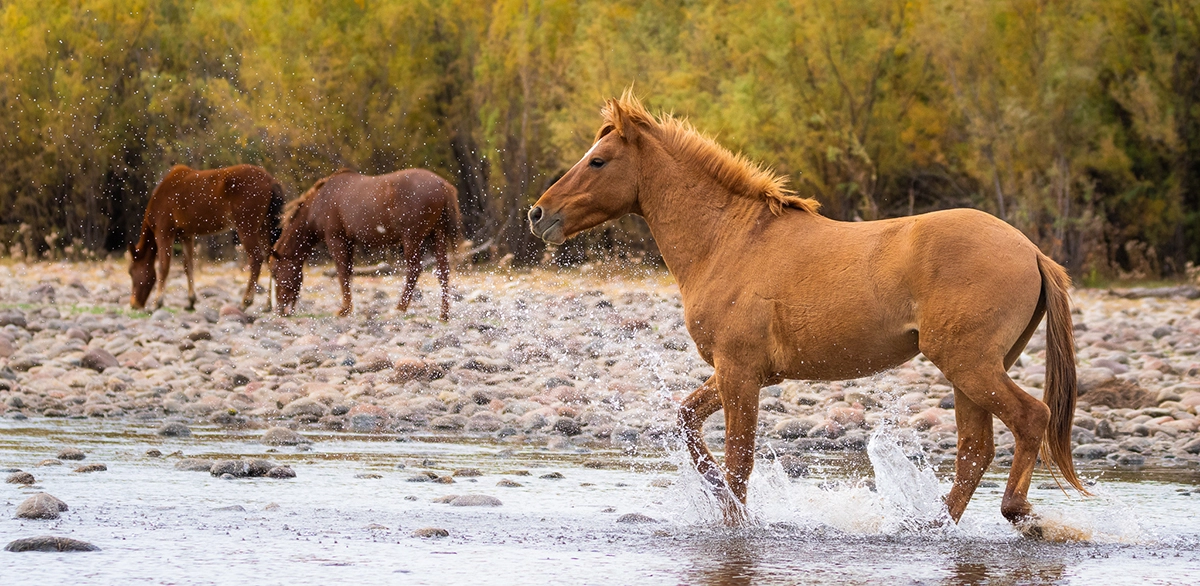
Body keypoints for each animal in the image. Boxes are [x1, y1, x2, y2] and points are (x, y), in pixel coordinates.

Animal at [129, 164, 284, 311]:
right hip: (264, 227)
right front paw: (191, 301)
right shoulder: (186, 235)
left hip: (246, 228)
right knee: (269, 258)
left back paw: (245, 302)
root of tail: (271, 180)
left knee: (256, 259)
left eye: (131, 271)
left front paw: (157, 302)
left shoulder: (164, 233)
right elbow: (188, 266)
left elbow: (163, 267)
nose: (134, 304)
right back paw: (267, 305)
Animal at [271, 168, 460, 320]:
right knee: (443, 270)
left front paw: (344, 309)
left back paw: (400, 307)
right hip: (437, 235)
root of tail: (442, 184)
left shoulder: (336, 239)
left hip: (411, 239)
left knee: (414, 269)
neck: (320, 202)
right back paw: (444, 313)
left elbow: (342, 272)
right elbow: (348, 272)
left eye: (275, 273)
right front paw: (347, 307)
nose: (281, 310)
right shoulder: (349, 242)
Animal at [528, 92, 1086, 534]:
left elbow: (738, 461)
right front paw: (716, 495)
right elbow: (688, 421)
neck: (728, 241)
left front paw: (734, 519)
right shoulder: (738, 373)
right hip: (969, 371)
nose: (538, 214)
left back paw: (1019, 515)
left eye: (598, 161)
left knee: (1029, 420)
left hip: (969, 364)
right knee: (975, 451)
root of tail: (1031, 252)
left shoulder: (739, 372)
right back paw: (926, 526)